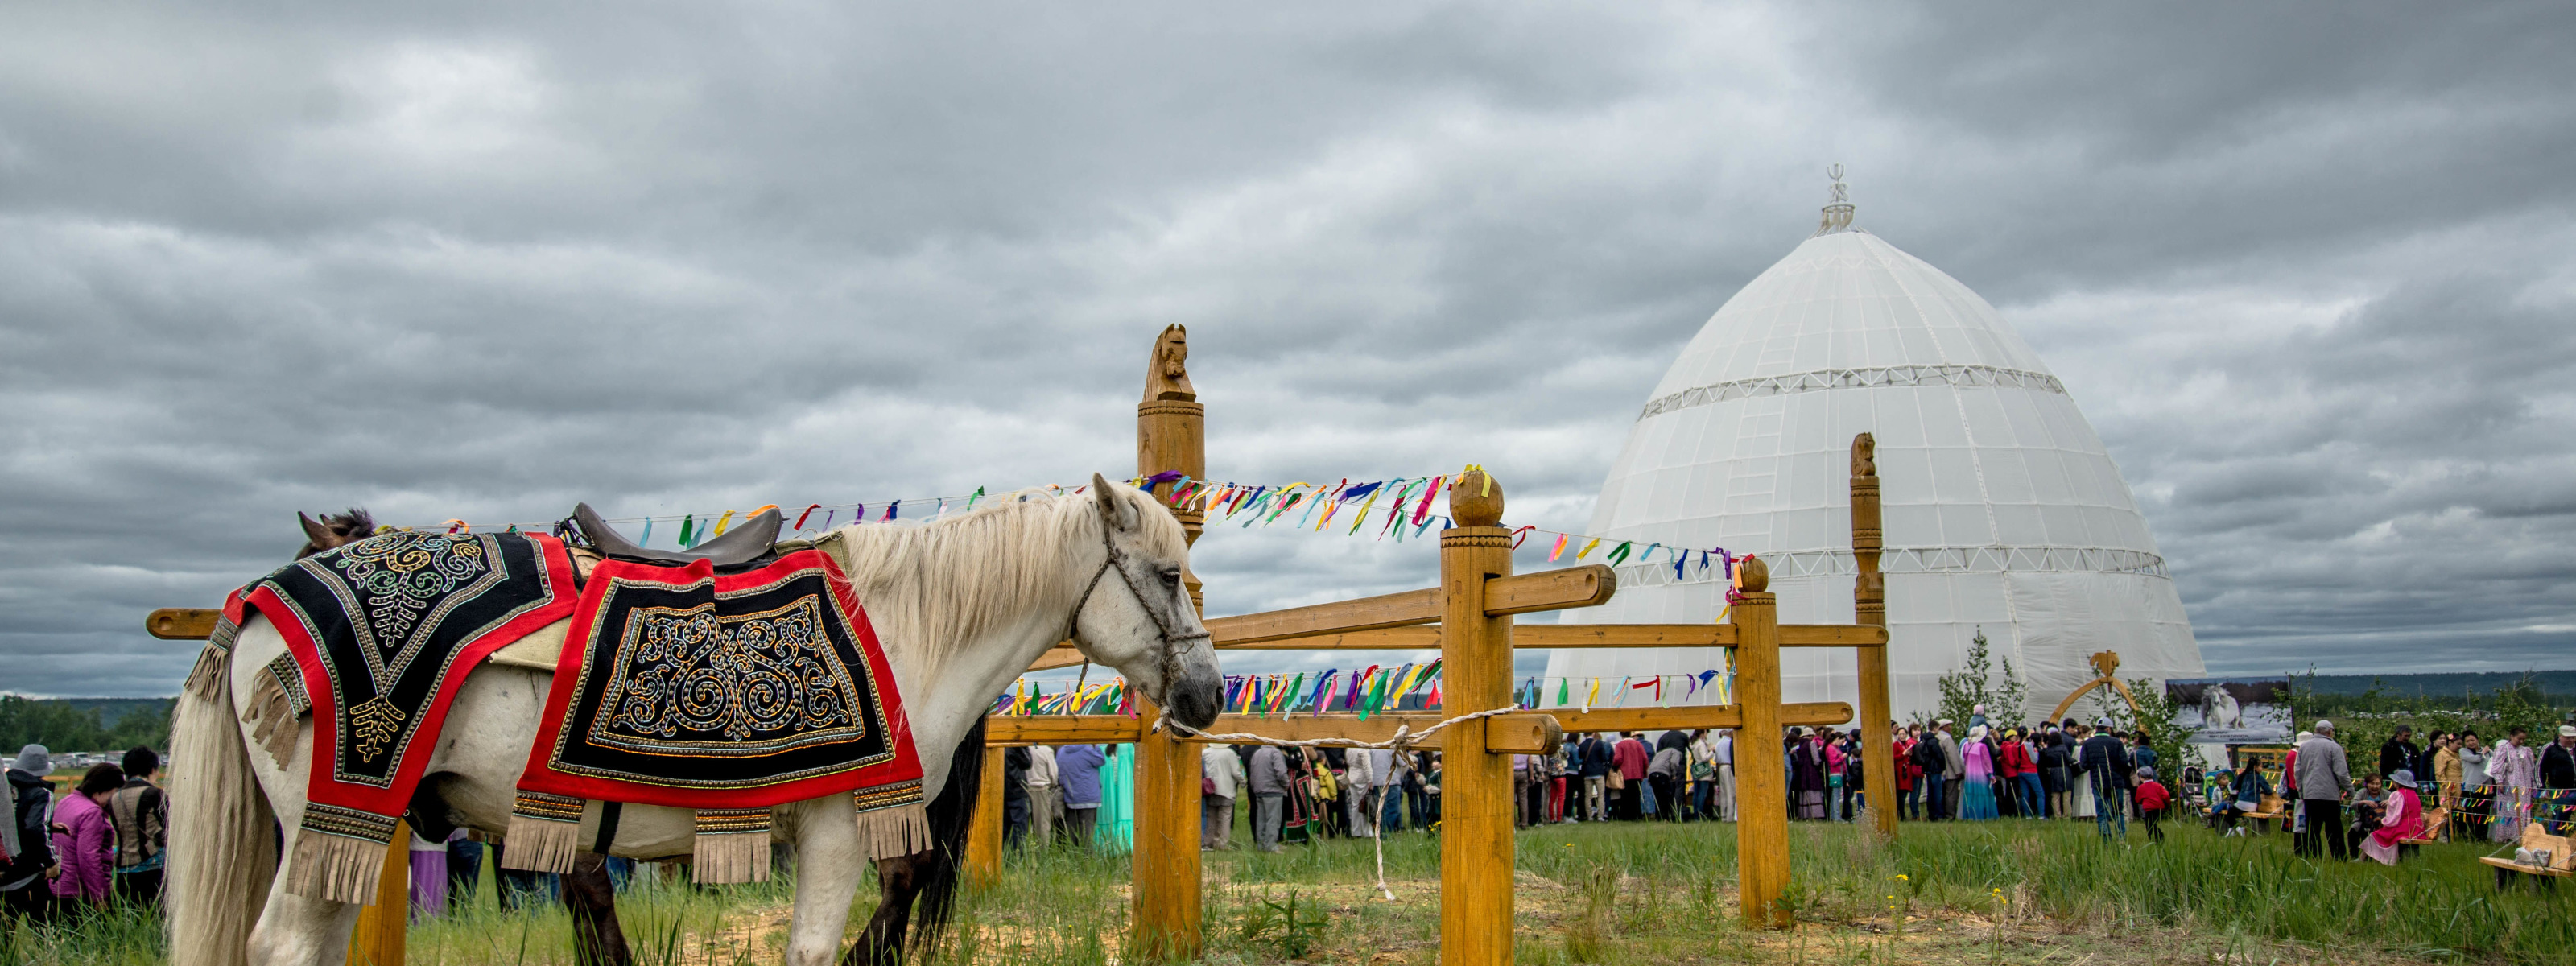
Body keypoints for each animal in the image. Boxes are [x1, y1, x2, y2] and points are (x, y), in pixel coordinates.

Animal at [168, 481, 1226, 966]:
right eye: (1167, 574)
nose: (1207, 696)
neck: (902, 627)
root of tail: (265, 598)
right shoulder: (836, 837)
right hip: (339, 812)